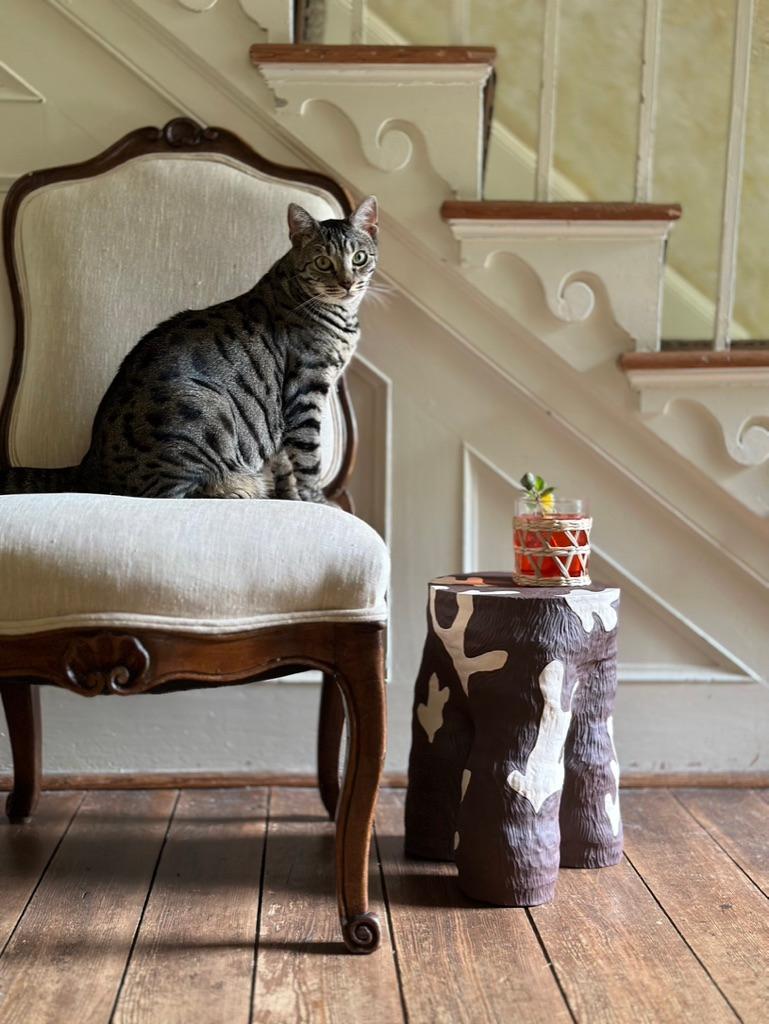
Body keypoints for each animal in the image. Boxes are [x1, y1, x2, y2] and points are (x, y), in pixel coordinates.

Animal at [0, 195, 378, 499]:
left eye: (359, 258)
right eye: (323, 262)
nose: (348, 283)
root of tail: (89, 463)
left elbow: (286, 461)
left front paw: (292, 498)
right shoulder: (305, 392)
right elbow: (308, 460)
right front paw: (315, 501)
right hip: (209, 409)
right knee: (177, 493)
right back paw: (240, 487)